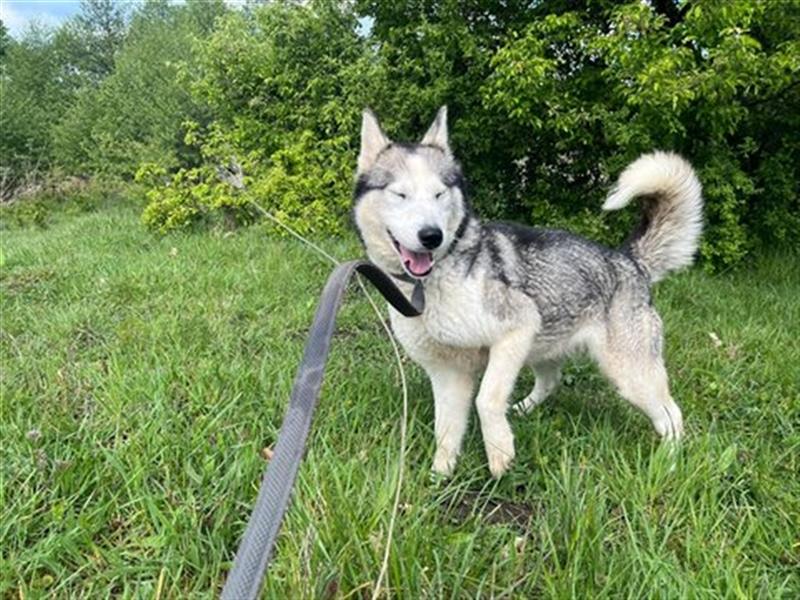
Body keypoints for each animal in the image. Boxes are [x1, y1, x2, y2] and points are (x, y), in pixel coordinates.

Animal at [354, 105, 704, 476]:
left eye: (439, 194)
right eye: (400, 194)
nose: (432, 236)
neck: (431, 285)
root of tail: (629, 260)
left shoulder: (517, 328)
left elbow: (487, 399)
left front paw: (499, 452)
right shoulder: (448, 375)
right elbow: (446, 431)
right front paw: (441, 475)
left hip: (631, 377)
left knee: (672, 415)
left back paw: (669, 462)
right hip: (543, 348)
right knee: (551, 382)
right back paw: (522, 409)